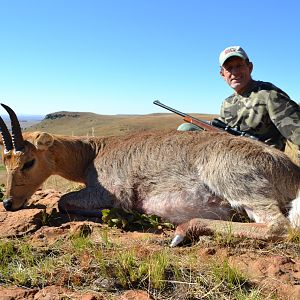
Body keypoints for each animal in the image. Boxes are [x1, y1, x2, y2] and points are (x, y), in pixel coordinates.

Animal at [1, 103, 300, 246]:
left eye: (28, 162)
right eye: (5, 160)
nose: (8, 203)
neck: (93, 152)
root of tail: (292, 170)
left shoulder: (111, 192)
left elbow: (62, 201)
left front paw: (125, 214)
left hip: (238, 186)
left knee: (279, 226)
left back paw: (181, 231)